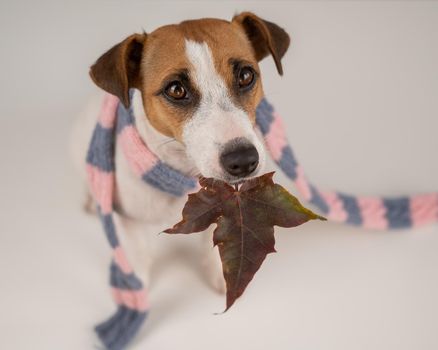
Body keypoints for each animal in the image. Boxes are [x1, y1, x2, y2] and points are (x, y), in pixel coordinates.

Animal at [72, 11, 290, 292]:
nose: (243, 160)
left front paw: (221, 275)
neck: (180, 171)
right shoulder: (125, 219)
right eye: (176, 89)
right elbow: (135, 256)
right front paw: (132, 289)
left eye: (245, 76)